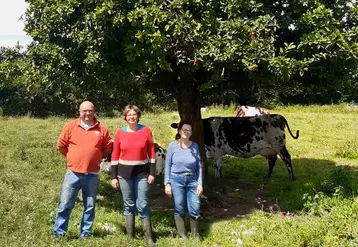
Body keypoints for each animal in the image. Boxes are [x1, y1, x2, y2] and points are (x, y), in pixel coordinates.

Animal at [171, 115, 300, 180]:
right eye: (177, 127)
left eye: (185, 129)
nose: (177, 136)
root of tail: (278, 116)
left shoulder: (217, 151)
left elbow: (218, 167)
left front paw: (218, 179)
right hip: (270, 149)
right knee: (272, 160)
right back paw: (267, 176)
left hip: (279, 144)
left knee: (287, 158)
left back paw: (292, 178)